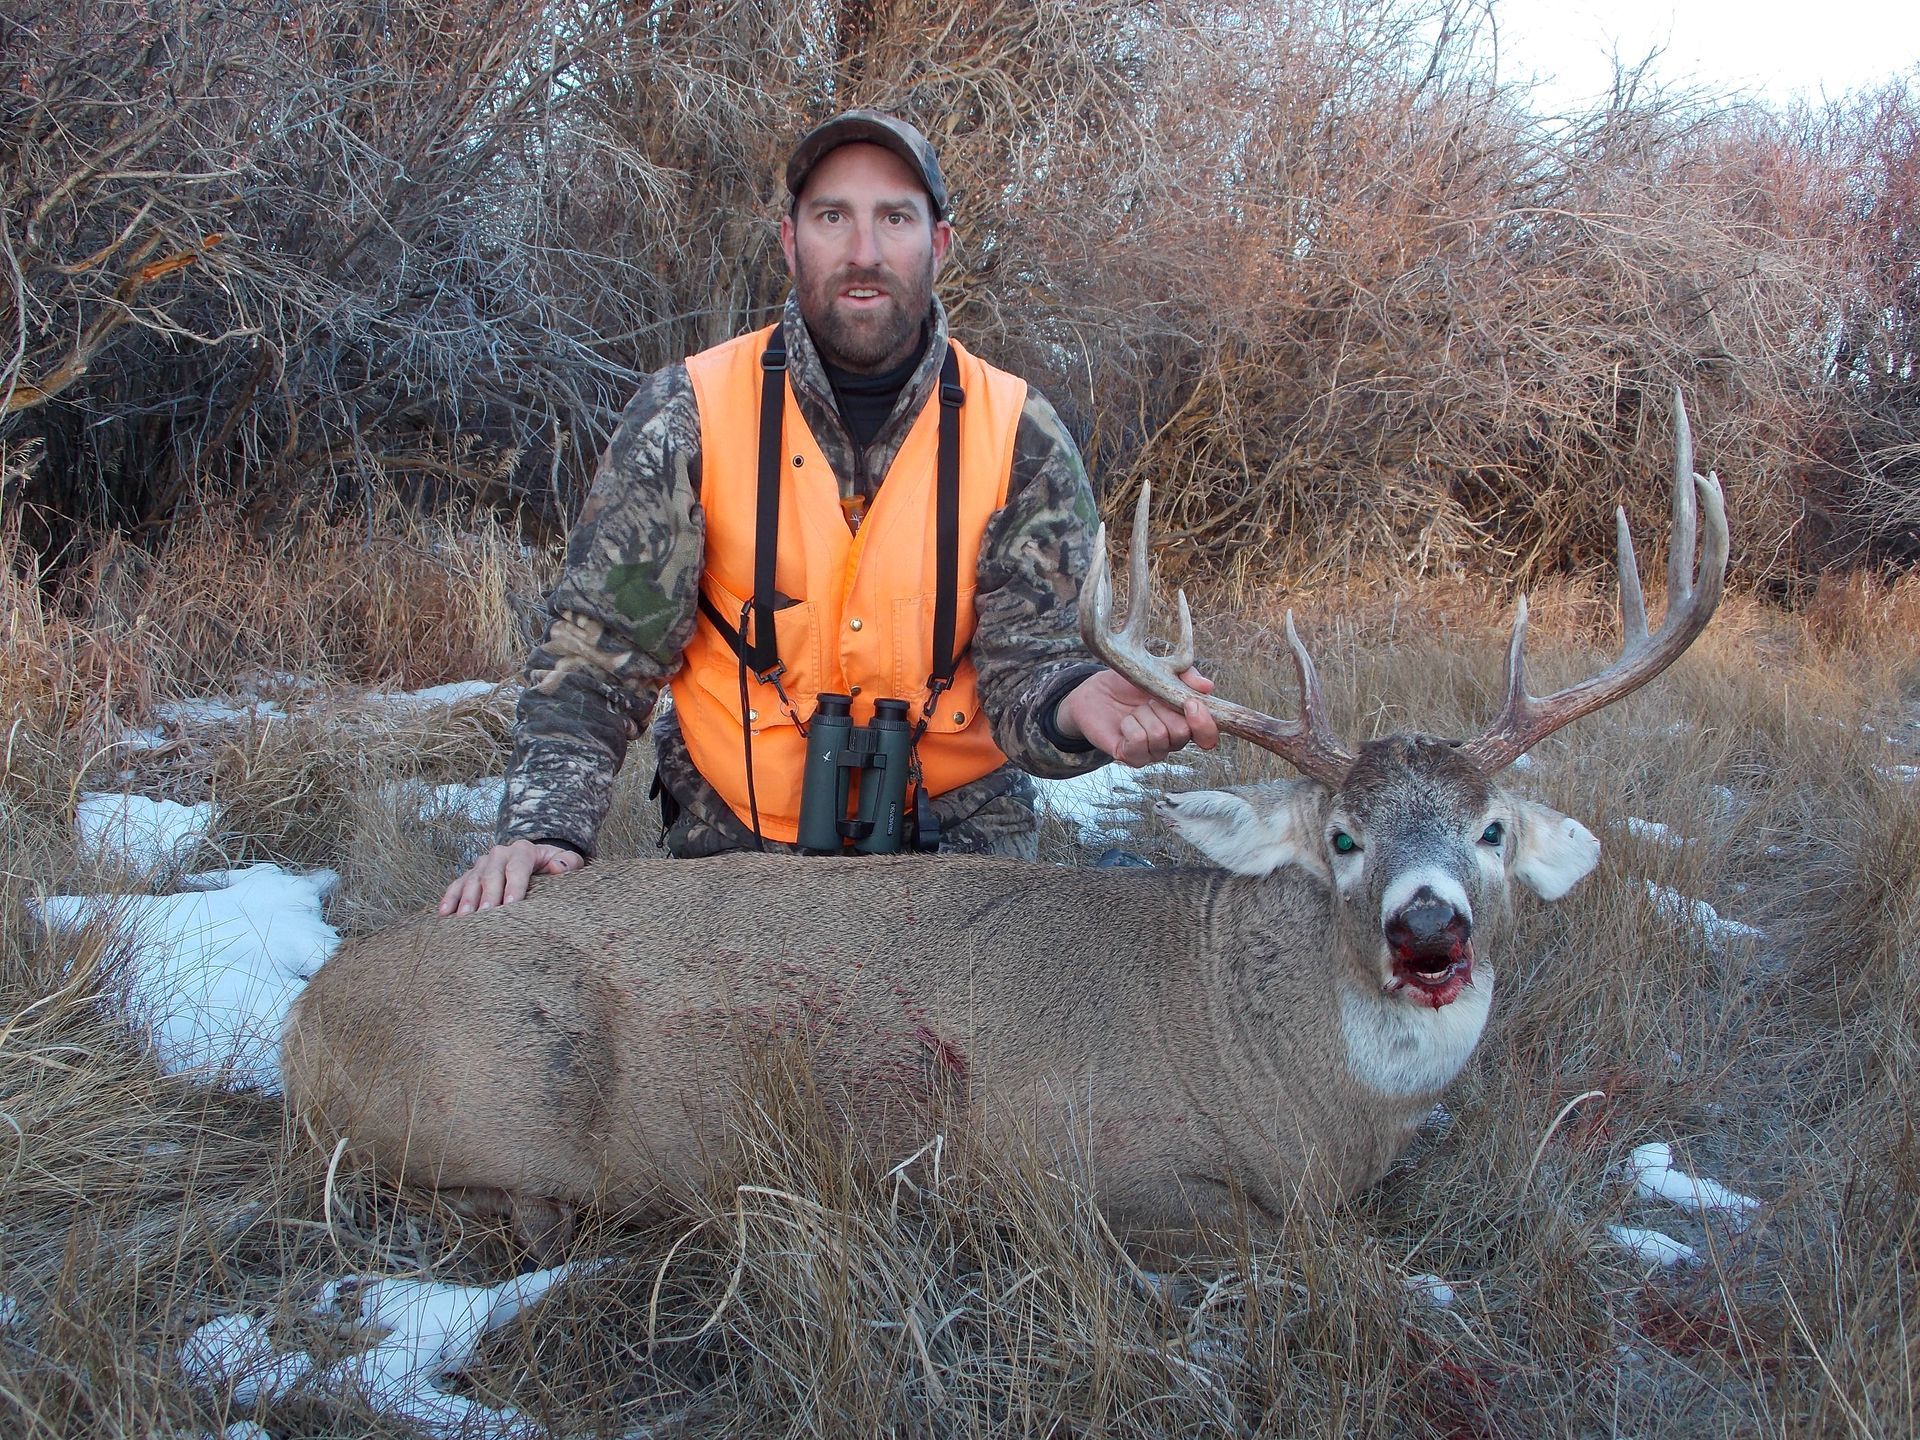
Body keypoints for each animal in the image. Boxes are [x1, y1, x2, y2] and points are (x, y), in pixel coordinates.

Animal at [282, 391, 1728, 1255]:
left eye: (1490, 833)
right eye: (1342, 837)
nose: (1429, 933)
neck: (1290, 1084)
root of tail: (303, 1020)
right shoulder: (1054, 1168)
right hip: (496, 1080)